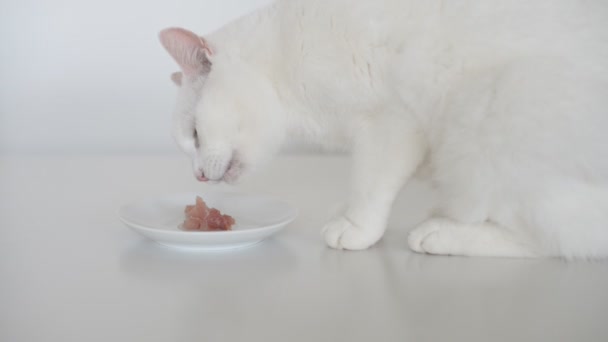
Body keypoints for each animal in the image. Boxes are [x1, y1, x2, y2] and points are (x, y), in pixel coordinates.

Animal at [160, 0, 608, 260]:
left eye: (195, 135)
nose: (198, 175)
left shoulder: (390, 120)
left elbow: (369, 185)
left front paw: (356, 227)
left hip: (492, 110)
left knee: (566, 239)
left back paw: (440, 233)